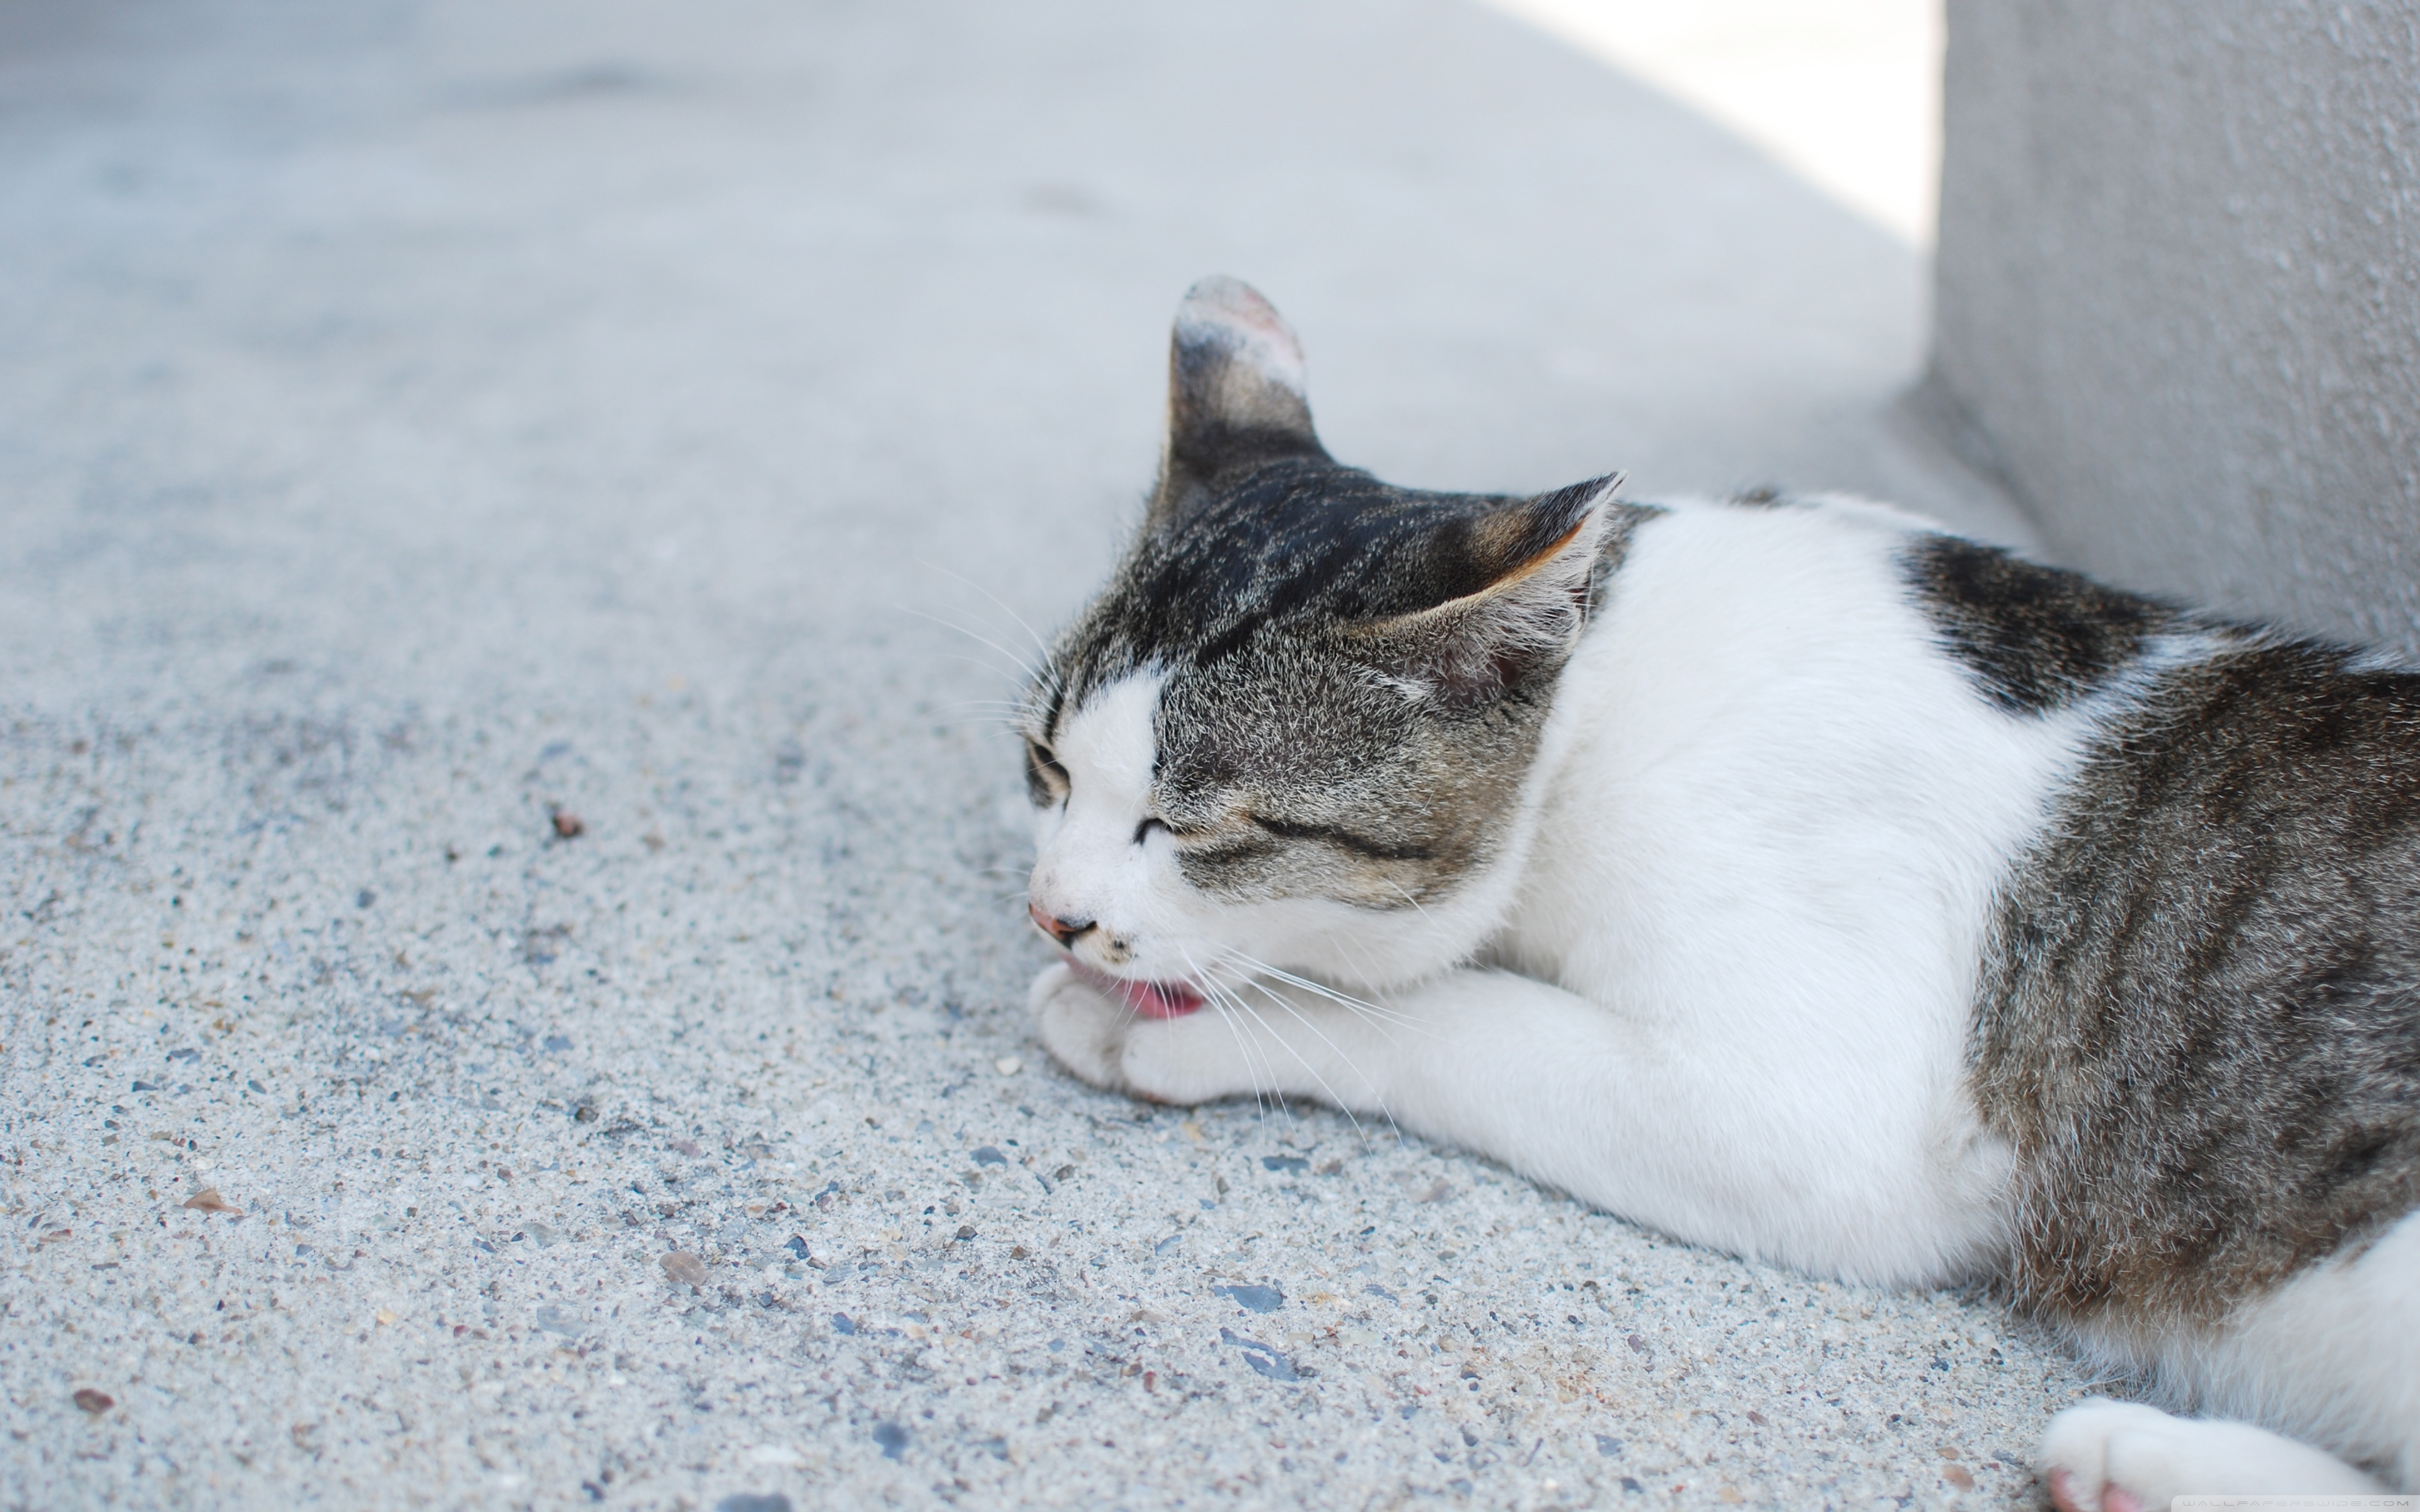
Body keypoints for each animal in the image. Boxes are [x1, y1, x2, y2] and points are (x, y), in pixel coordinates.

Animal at [1011, 277, 2410, 1499]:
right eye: (1047, 764)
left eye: (1193, 829)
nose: (1053, 913)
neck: (1602, 683)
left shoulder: (1821, 1120)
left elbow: (1443, 1013)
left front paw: (1175, 1028)